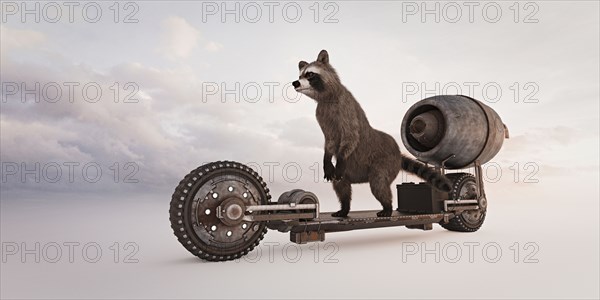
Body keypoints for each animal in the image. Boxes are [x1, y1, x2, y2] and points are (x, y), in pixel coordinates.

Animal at [290, 49, 450, 218]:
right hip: (352, 170)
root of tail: (397, 153)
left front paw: (340, 156)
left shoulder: (345, 109)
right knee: (341, 185)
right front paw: (327, 159)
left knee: (378, 183)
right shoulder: (323, 116)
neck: (326, 98)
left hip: (383, 163)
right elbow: (330, 142)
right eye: (300, 75)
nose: (295, 83)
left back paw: (387, 207)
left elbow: (351, 137)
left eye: (310, 74)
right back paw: (345, 207)